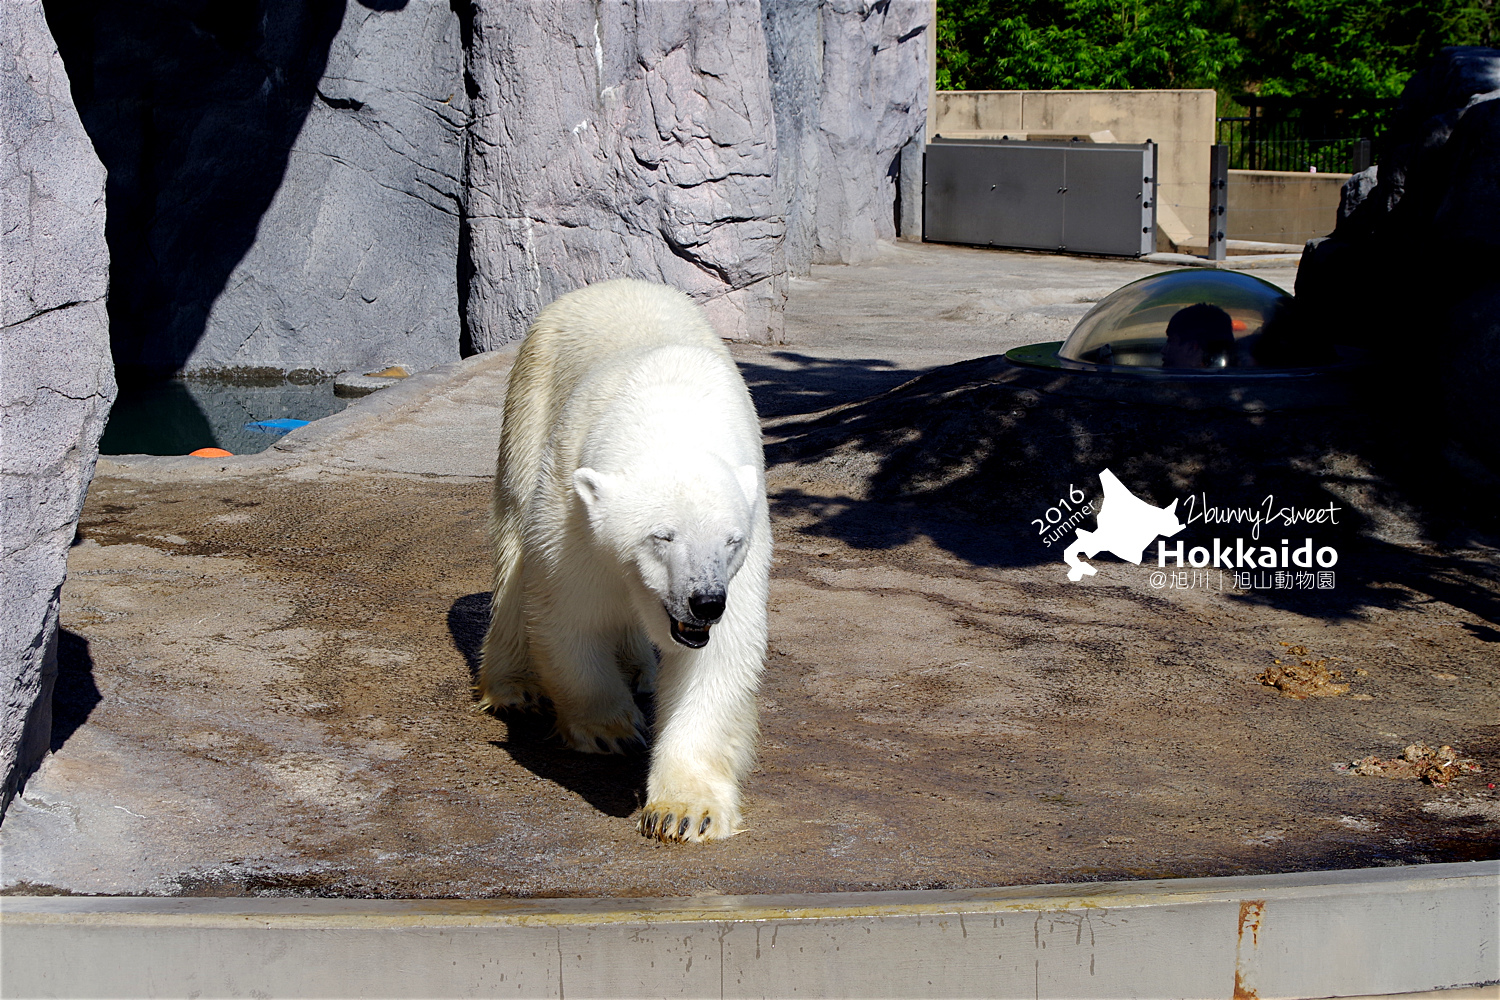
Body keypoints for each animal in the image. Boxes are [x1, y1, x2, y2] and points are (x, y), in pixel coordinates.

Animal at [480, 277, 774, 839]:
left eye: (730, 541)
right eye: (662, 536)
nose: (705, 602)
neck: (669, 412)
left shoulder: (748, 545)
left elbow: (719, 657)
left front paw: (684, 811)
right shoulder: (572, 508)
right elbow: (568, 611)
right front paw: (609, 728)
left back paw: (640, 668)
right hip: (531, 391)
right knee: (512, 539)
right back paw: (513, 686)